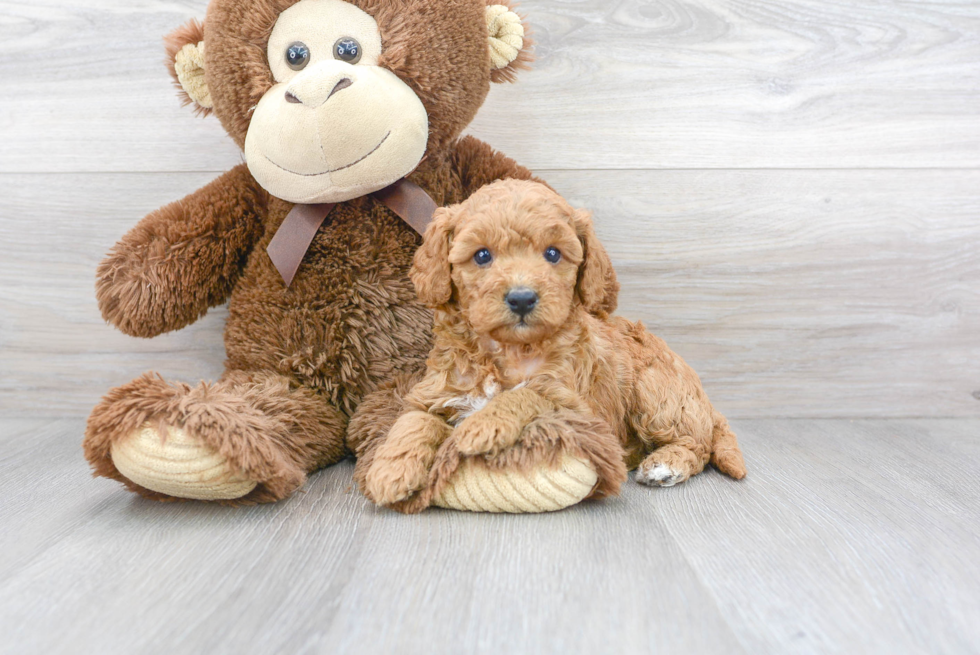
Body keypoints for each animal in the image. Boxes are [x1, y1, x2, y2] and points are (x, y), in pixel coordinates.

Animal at [364, 178, 748, 508]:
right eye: (482, 255)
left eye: (552, 254)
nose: (521, 298)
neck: (509, 350)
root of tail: (703, 399)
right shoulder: (436, 390)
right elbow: (413, 421)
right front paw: (388, 470)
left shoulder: (577, 405)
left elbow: (528, 394)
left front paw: (482, 425)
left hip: (656, 391)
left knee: (697, 443)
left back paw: (666, 465)